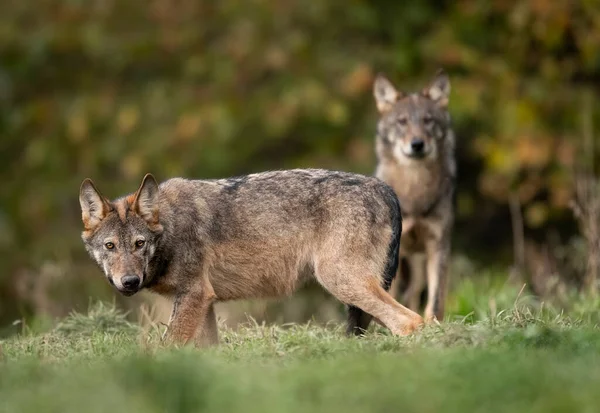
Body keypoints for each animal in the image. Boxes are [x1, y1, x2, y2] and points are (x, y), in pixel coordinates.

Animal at [79, 167, 424, 344]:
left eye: (139, 244)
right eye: (110, 246)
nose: (129, 281)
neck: (170, 225)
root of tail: (384, 188)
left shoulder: (194, 295)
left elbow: (167, 347)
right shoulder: (204, 301)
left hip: (340, 281)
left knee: (412, 321)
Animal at [372, 70, 458, 322]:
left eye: (428, 120)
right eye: (402, 122)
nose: (417, 144)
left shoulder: (438, 245)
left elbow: (436, 297)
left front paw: (434, 324)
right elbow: (389, 296)